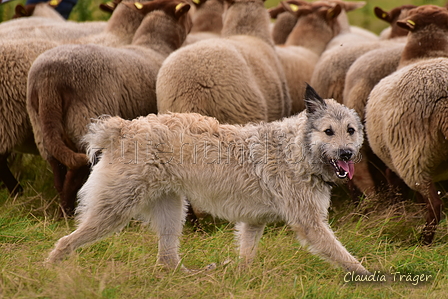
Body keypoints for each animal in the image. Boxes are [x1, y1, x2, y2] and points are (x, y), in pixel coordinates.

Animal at [25, 0, 192, 216]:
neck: (153, 45)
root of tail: (49, 78)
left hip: (40, 123)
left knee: (57, 166)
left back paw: (63, 210)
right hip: (86, 118)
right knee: (77, 171)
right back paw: (70, 212)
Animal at [46, 84, 368, 276]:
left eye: (351, 130)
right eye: (328, 132)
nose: (347, 153)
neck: (299, 148)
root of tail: (123, 129)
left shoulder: (254, 222)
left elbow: (246, 254)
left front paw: (241, 276)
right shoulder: (310, 223)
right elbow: (343, 255)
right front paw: (369, 277)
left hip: (171, 211)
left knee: (167, 260)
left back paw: (193, 274)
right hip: (113, 211)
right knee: (65, 241)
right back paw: (50, 270)